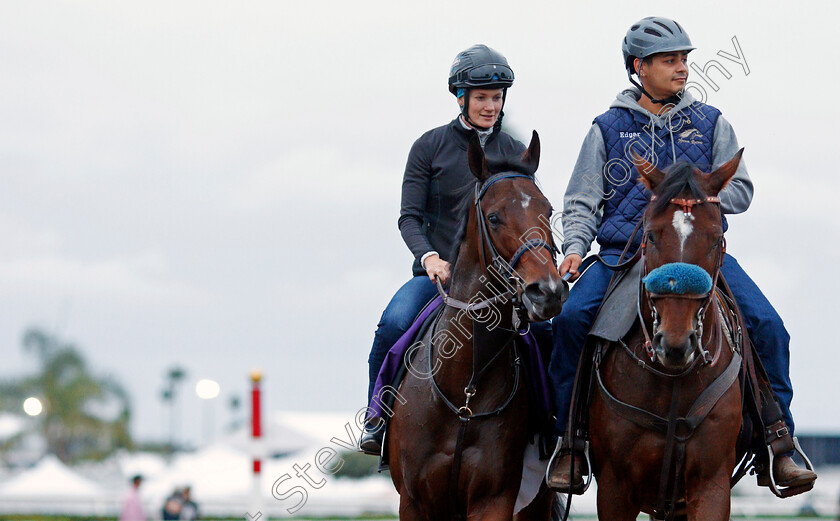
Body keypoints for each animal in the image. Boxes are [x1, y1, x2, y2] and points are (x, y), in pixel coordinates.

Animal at [388, 132, 572, 516]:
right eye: (494, 217)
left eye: (547, 210)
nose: (548, 291)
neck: (464, 390)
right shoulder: (413, 501)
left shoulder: (494, 500)